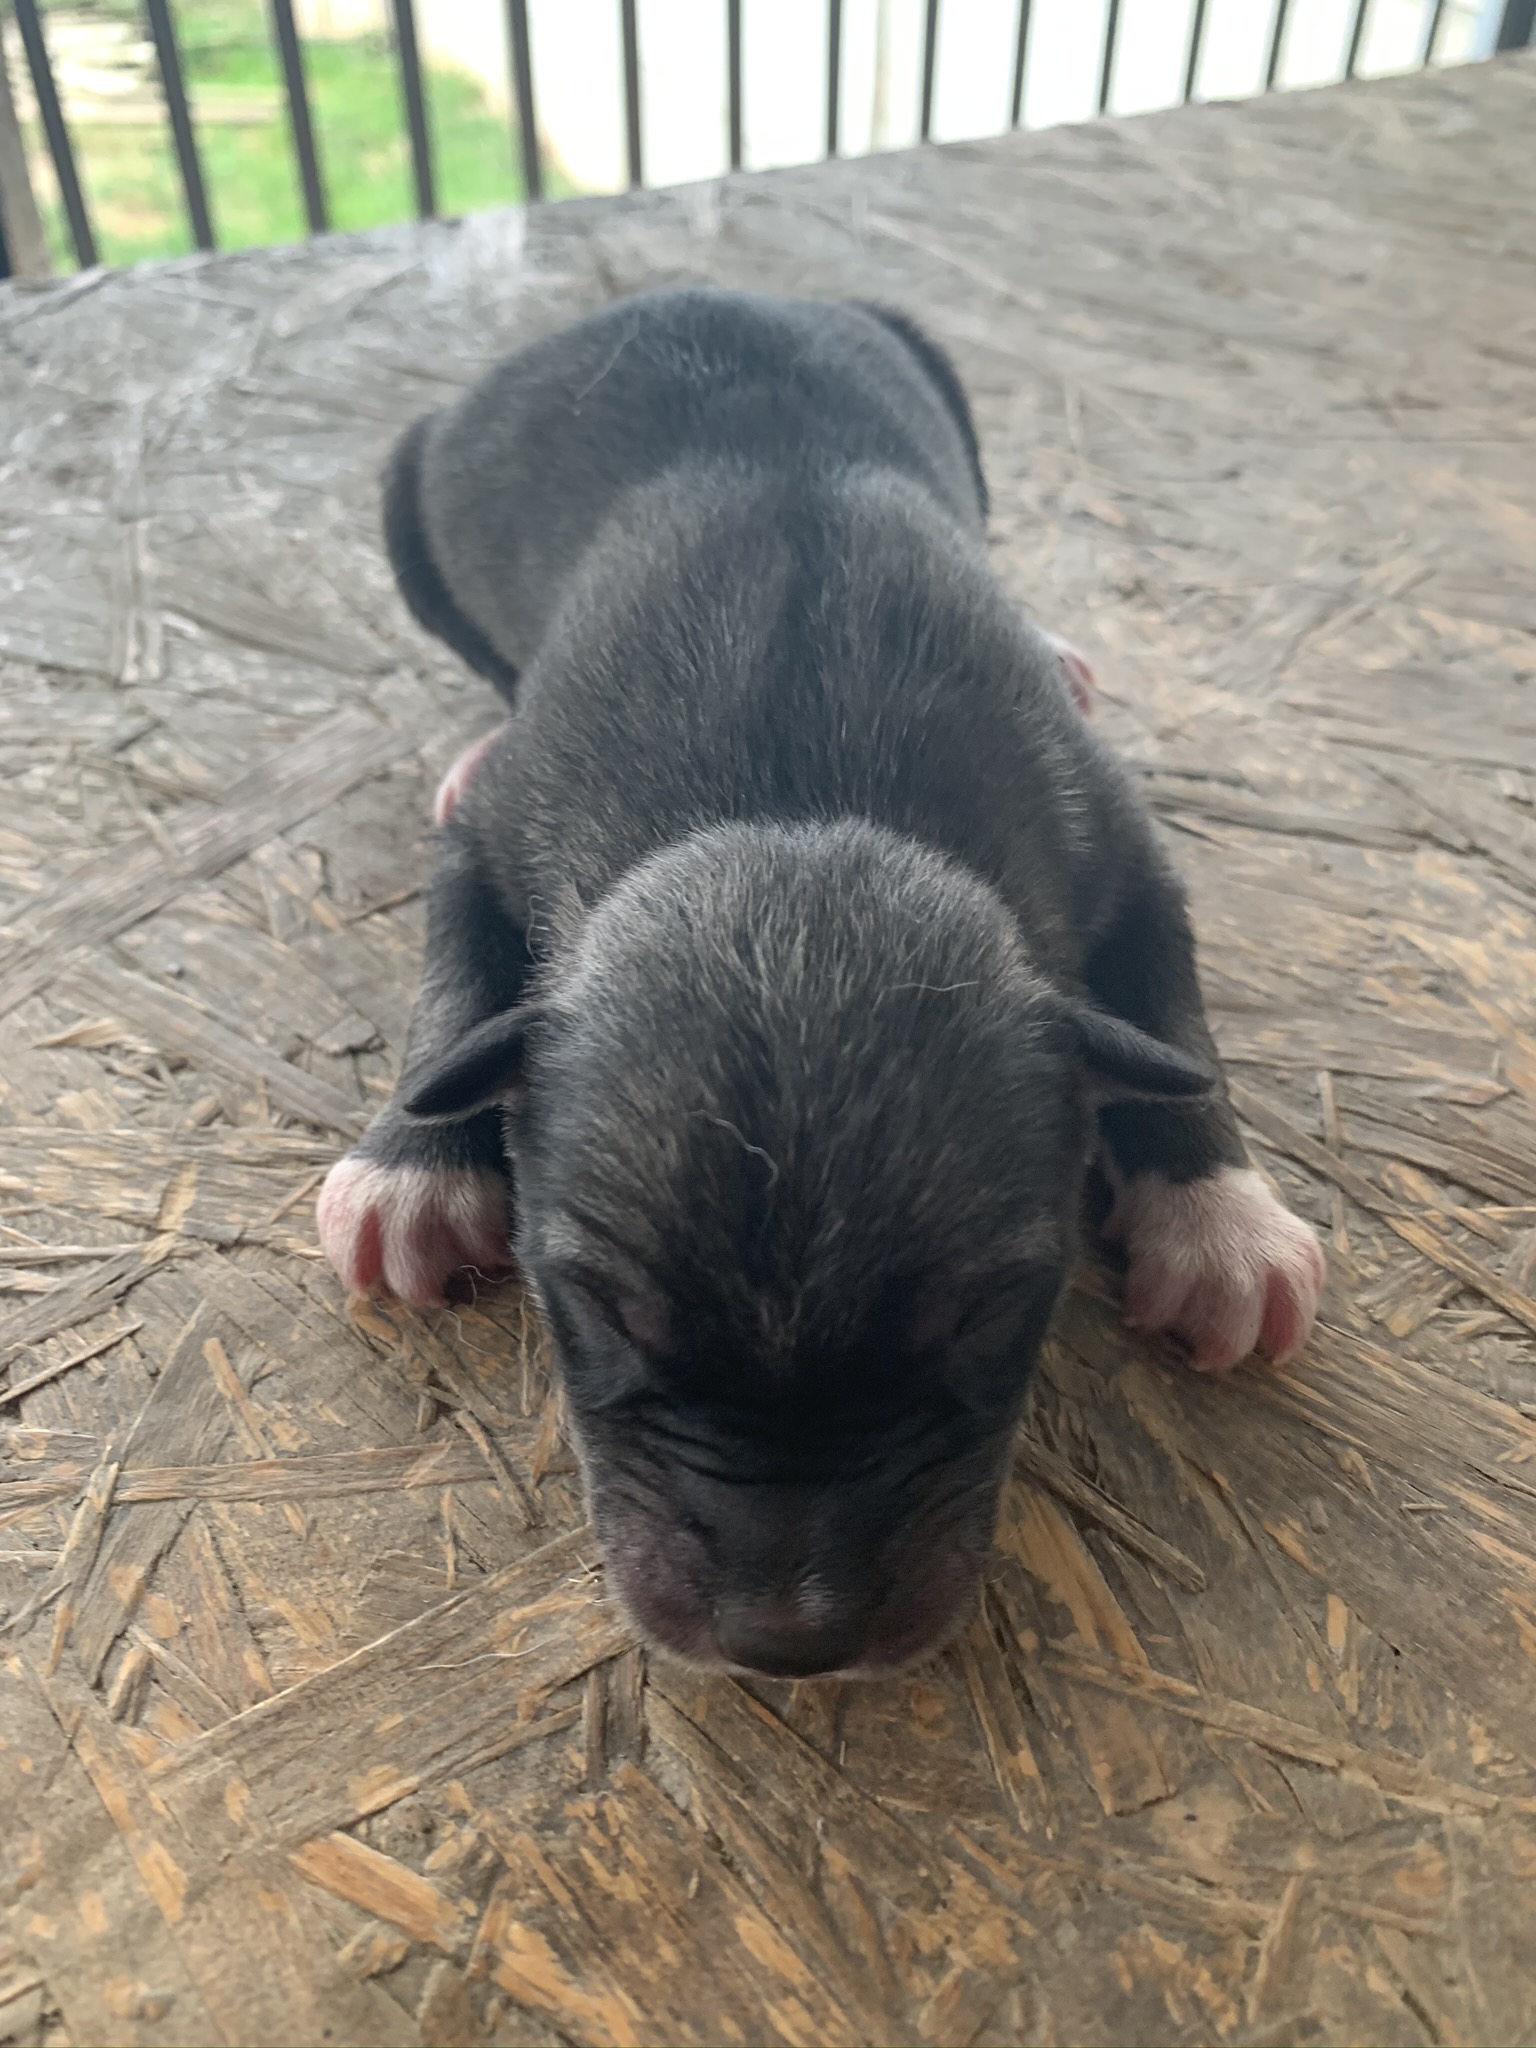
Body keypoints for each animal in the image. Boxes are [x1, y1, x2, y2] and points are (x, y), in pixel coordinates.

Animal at [318, 289, 1324, 1678]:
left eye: (987, 1313)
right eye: (601, 1310)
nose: (791, 1641)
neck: (794, 793)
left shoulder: (1115, 834)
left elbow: (1172, 1011)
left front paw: (1220, 1219)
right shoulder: (498, 834)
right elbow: (454, 987)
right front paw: (407, 1166)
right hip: (410, 502)